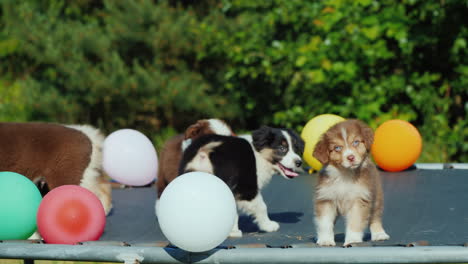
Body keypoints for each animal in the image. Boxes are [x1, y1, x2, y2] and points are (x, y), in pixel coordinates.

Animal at [312, 119, 390, 248]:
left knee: (375, 217)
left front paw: (353, 240)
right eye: (337, 148)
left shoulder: (359, 199)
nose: (351, 157)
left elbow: (355, 222)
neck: (345, 175)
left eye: (356, 142)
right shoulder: (326, 199)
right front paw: (325, 240)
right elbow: (325, 222)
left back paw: (379, 234)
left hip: (376, 197)